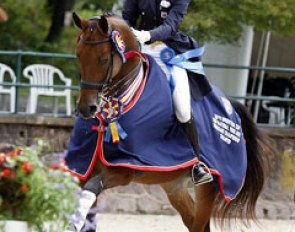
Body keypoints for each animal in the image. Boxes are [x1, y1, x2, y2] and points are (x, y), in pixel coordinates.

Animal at [70, 12, 272, 232]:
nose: (86, 108)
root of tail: (231, 108)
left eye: (104, 59)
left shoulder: (124, 170)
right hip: (173, 185)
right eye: (78, 55)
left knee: (199, 224)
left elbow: (91, 189)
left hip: (210, 186)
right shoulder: (85, 169)